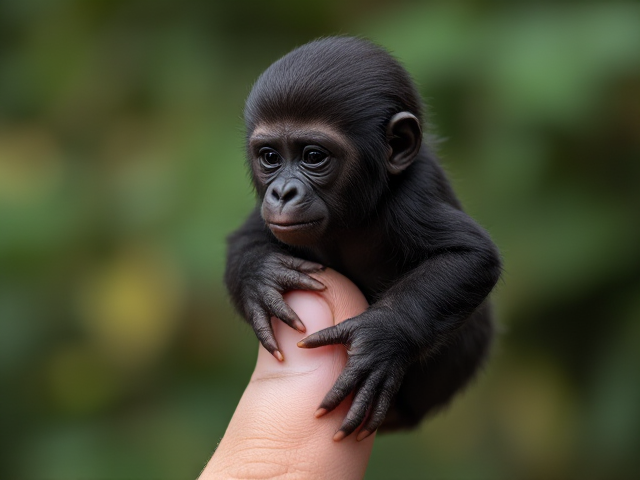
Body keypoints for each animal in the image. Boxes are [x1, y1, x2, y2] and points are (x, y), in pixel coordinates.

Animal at [224, 36, 501, 441]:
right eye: (270, 156)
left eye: (313, 156)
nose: (282, 193)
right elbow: (245, 240)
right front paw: (259, 275)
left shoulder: (413, 197)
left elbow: (471, 255)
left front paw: (381, 339)